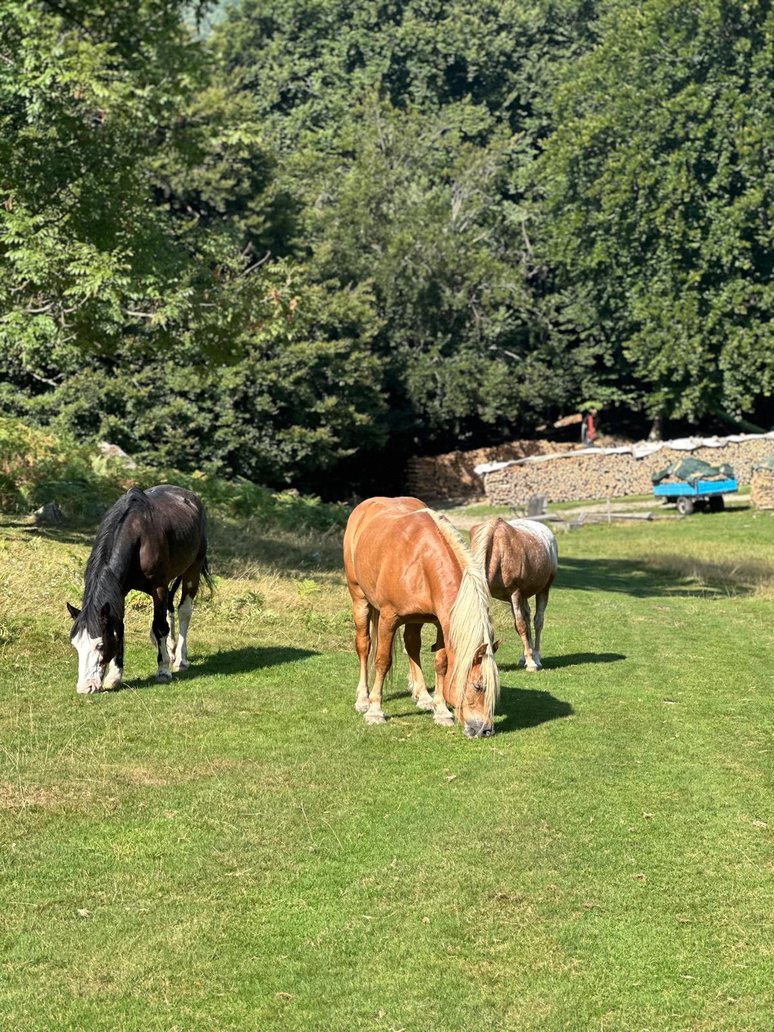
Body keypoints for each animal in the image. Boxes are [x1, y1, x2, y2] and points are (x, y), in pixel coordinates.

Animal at [67, 485, 211, 693]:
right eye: (76, 645)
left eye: (100, 645)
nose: (85, 687)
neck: (137, 535)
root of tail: (190, 497)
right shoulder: (119, 590)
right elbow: (119, 626)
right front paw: (115, 676)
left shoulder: (158, 587)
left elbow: (159, 626)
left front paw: (163, 670)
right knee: (169, 607)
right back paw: (171, 650)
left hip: (193, 568)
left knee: (184, 610)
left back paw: (180, 659)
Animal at [343, 496, 500, 737]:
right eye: (478, 686)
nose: (485, 730)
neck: (422, 559)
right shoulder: (388, 618)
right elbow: (382, 661)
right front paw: (375, 711)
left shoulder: (441, 623)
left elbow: (441, 664)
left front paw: (441, 711)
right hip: (359, 599)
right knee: (364, 645)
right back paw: (362, 699)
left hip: (415, 619)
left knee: (412, 645)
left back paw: (423, 696)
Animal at [470, 517, 557, 672]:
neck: (497, 549)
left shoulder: (514, 592)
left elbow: (520, 625)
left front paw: (531, 663)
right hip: (523, 595)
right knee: (527, 618)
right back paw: (525, 657)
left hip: (543, 590)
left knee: (538, 621)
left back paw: (536, 657)